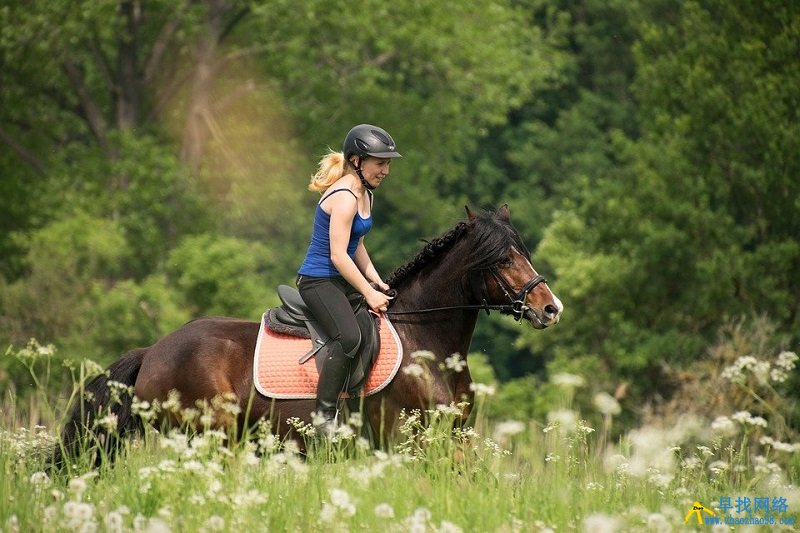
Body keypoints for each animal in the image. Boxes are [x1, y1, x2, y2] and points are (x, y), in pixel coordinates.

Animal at [54, 206, 564, 464]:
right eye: (501, 259)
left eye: (523, 251)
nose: (550, 308)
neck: (428, 344)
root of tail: (154, 350)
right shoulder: (407, 441)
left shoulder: (454, 437)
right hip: (207, 437)